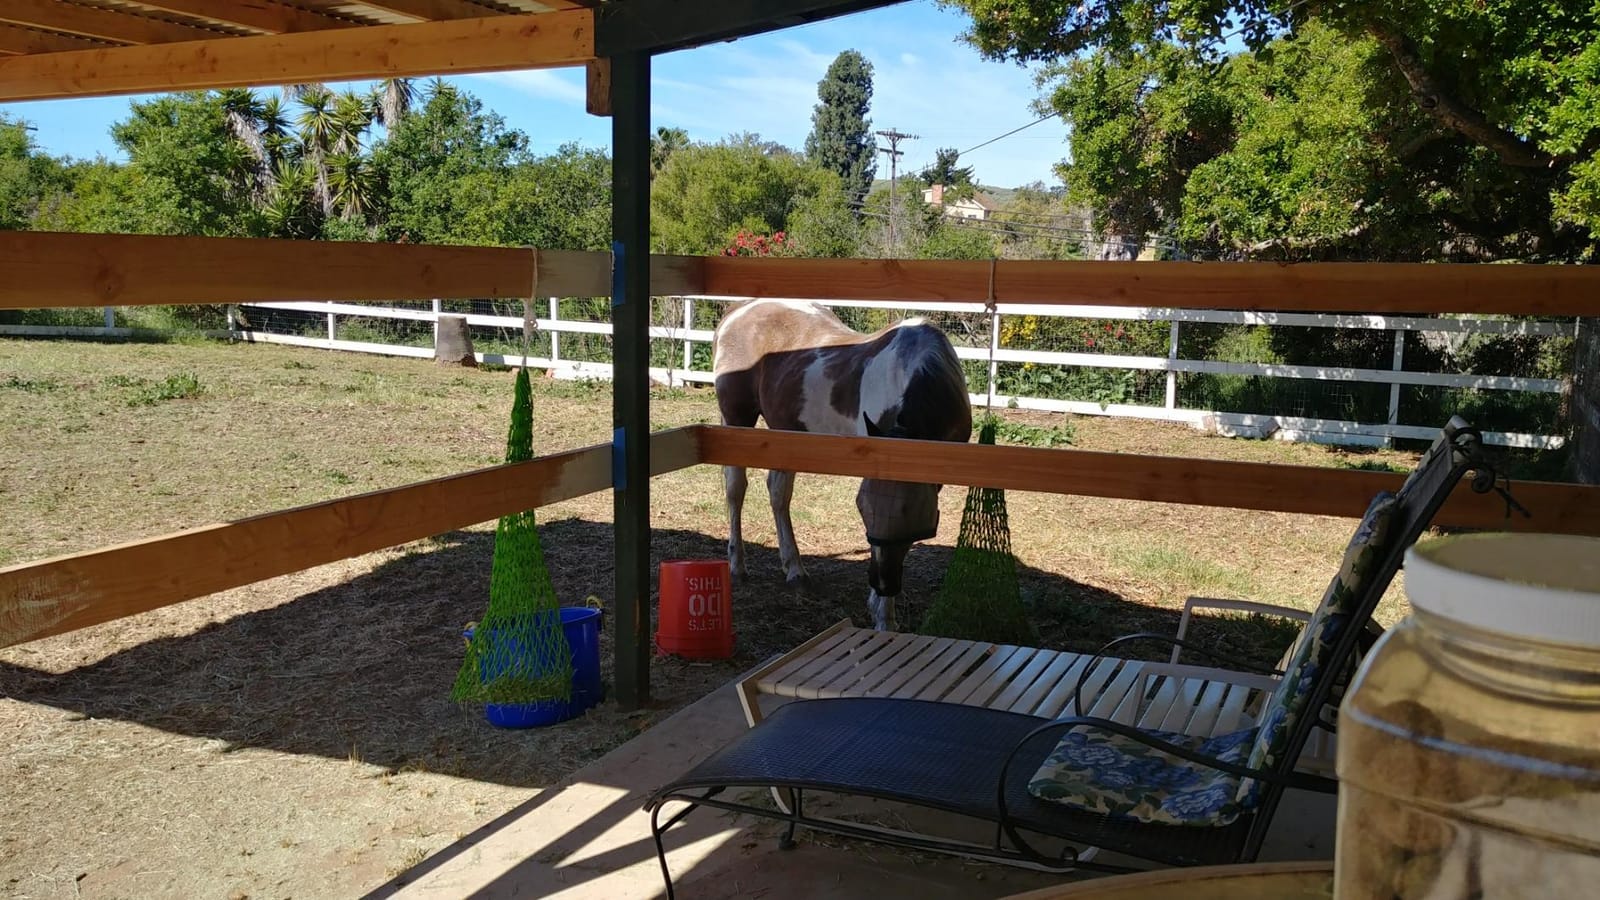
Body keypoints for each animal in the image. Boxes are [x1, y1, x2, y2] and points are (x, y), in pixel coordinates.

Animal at [711, 299, 973, 631]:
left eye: (917, 525)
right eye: (862, 510)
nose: (882, 584)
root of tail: (739, 310)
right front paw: (883, 620)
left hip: (787, 431)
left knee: (778, 494)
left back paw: (794, 570)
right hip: (737, 419)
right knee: (736, 489)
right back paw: (737, 565)